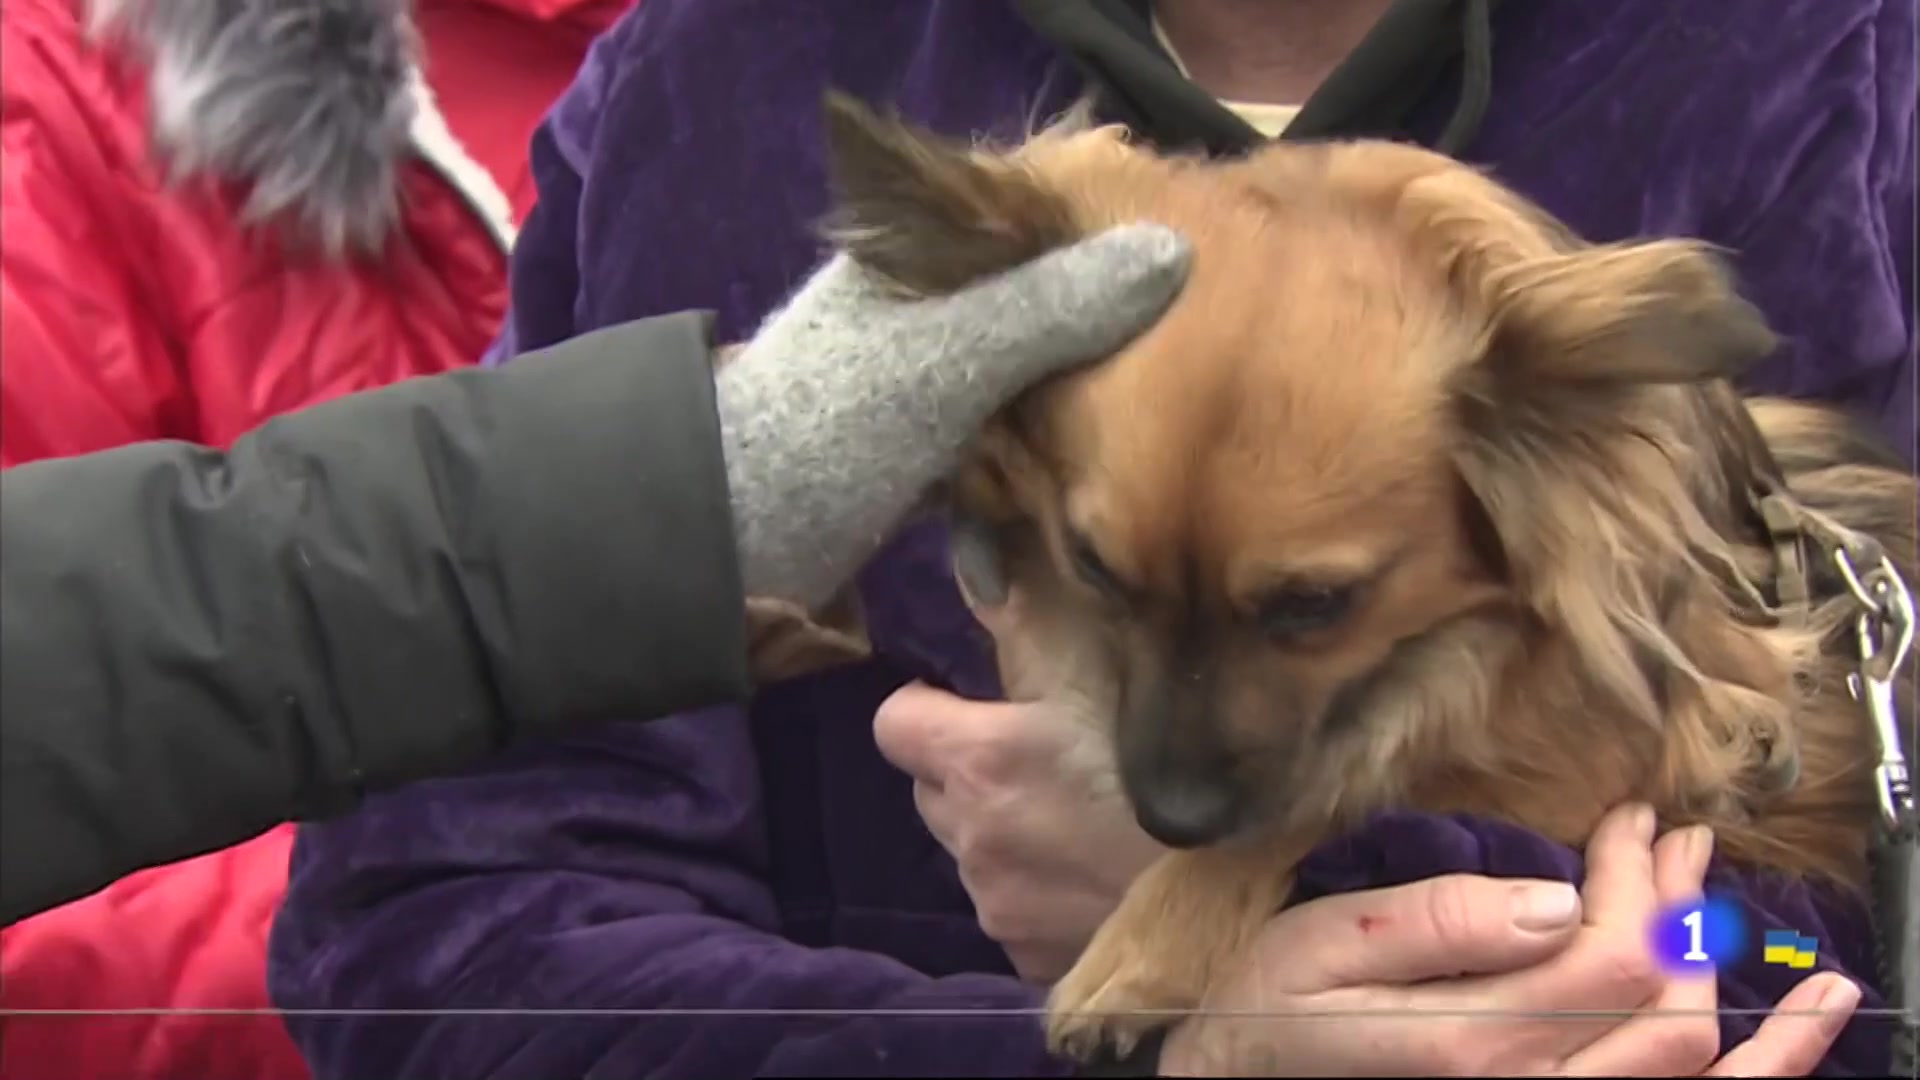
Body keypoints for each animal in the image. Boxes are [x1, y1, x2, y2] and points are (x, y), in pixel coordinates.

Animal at [814, 90, 1920, 1053]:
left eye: (1317, 605)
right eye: (1094, 567)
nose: (1169, 819)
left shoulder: (1646, 757)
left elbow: (1356, 778)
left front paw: (1147, 943)